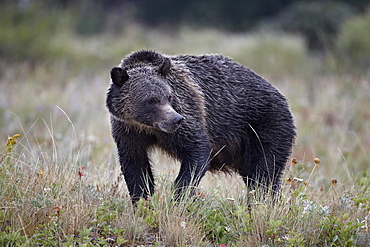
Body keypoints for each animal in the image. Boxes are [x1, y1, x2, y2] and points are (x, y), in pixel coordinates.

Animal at [105, 50, 296, 203]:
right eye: (151, 100)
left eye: (169, 96)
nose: (176, 119)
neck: (148, 127)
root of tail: (282, 97)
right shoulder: (128, 131)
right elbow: (135, 166)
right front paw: (142, 201)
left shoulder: (188, 111)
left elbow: (196, 151)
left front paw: (178, 198)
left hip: (265, 126)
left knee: (263, 173)